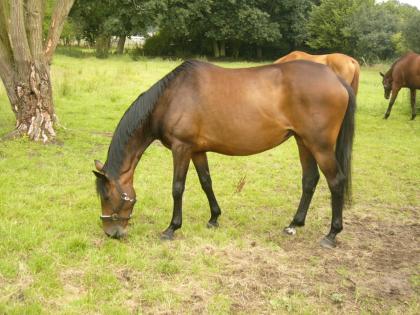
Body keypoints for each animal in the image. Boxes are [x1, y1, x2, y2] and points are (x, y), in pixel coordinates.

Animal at [93, 60, 356, 249]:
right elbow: (206, 182)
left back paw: (331, 235)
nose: (111, 233)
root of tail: (337, 79)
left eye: (106, 195)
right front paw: (214, 218)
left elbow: (177, 188)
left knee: (336, 181)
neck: (171, 97)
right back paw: (294, 224)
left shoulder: (182, 148)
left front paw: (171, 228)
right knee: (310, 180)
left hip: (320, 145)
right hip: (303, 142)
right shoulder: (197, 150)